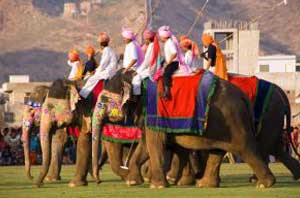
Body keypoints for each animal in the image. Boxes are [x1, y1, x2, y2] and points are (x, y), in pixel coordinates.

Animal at [93, 70, 274, 189]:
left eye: (103, 101)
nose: (98, 181)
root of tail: (243, 97)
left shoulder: (154, 112)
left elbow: (154, 143)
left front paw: (157, 186)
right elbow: (144, 146)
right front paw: (133, 182)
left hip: (233, 121)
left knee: (245, 148)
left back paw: (264, 184)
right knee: (217, 151)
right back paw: (204, 185)